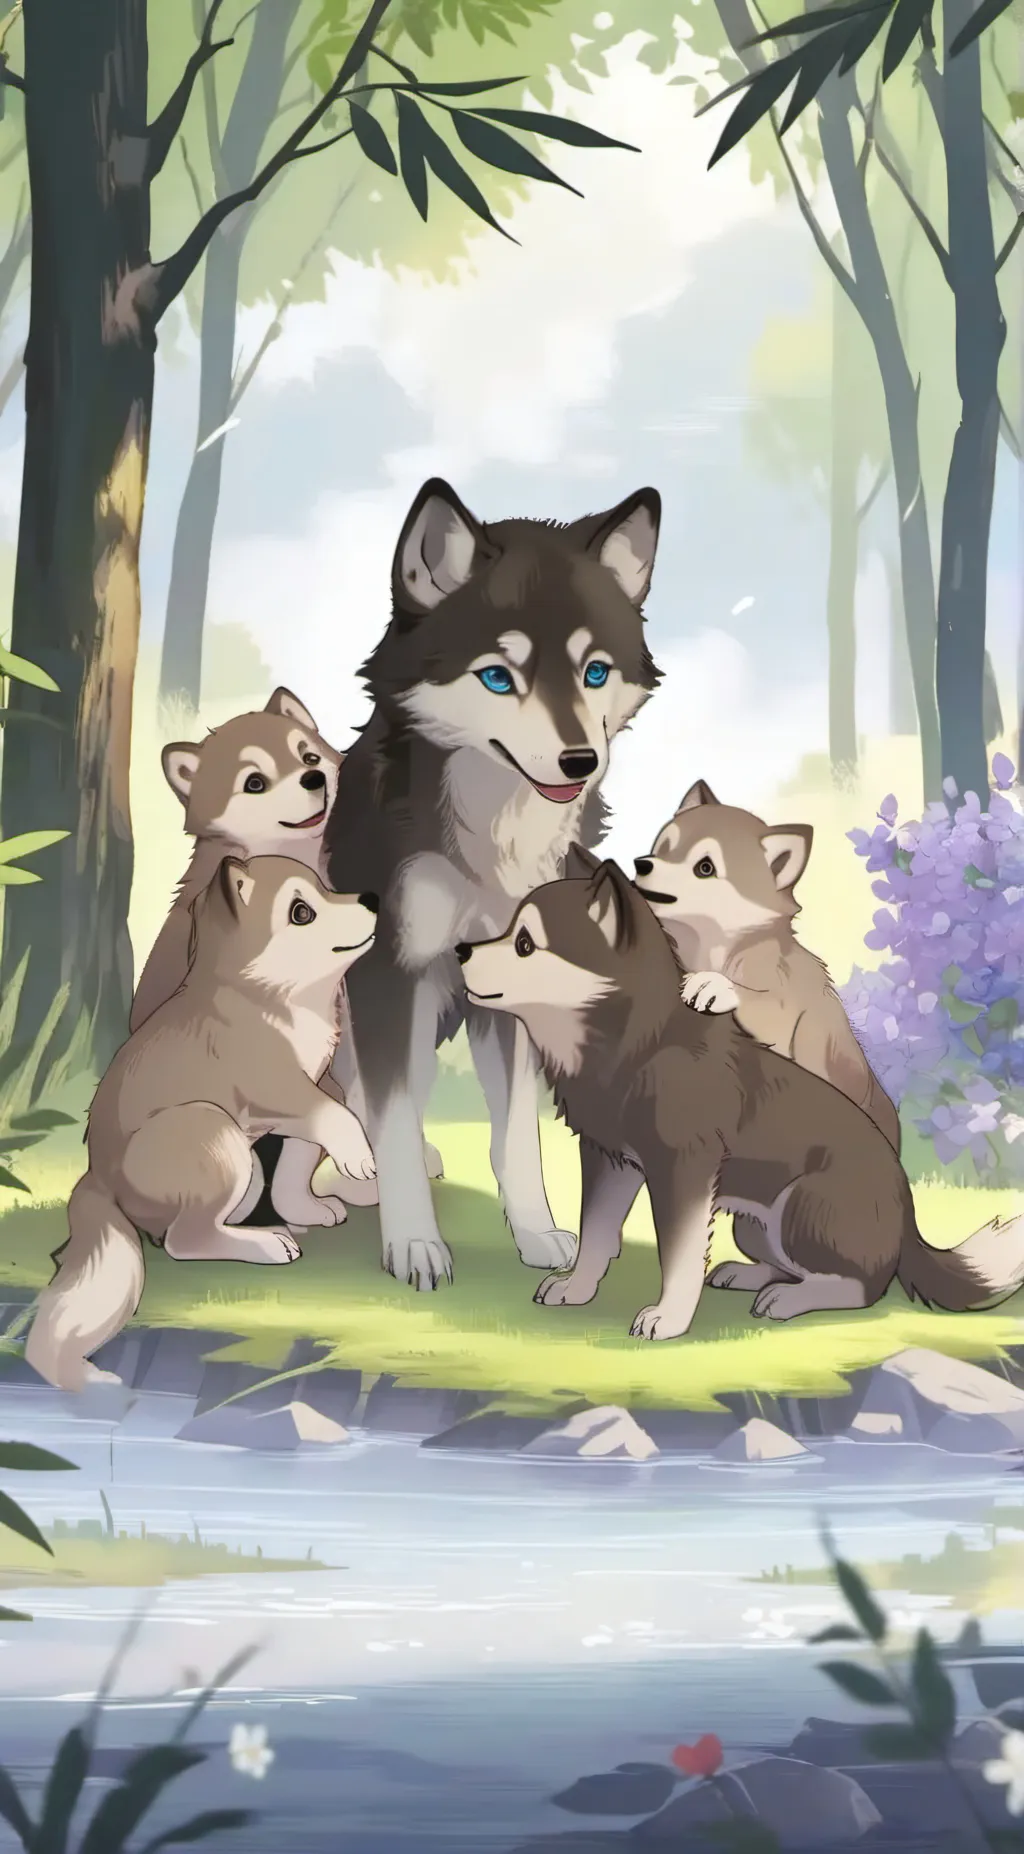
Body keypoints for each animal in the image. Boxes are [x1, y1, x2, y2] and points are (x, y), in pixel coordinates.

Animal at [25, 858, 378, 1392]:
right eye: (302, 911)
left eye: (326, 888)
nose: (373, 899)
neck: (268, 999)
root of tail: (96, 1176)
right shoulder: (281, 1088)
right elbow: (339, 1121)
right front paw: (359, 1158)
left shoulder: (314, 1091)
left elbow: (298, 1163)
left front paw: (310, 1207)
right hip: (211, 1130)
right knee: (184, 1241)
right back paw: (265, 1244)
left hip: (241, 1162)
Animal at [321, 476, 662, 1291]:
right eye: (498, 677)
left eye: (594, 672)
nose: (579, 761)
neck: (493, 831)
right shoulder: (388, 974)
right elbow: (392, 1116)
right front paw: (414, 1244)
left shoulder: (508, 986)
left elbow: (515, 1137)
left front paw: (536, 1233)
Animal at [455, 860, 1024, 1339]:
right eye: (508, 932)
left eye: (525, 944)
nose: (460, 950)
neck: (634, 1044)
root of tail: (909, 1222)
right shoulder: (609, 1160)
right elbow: (594, 1233)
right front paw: (577, 1288)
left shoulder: (683, 1165)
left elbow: (679, 1254)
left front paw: (668, 1318)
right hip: (753, 1224)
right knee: (790, 1264)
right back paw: (751, 1276)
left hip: (803, 1204)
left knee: (864, 1285)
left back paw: (790, 1299)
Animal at [633, 780, 901, 1150]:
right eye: (663, 848)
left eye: (705, 868)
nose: (641, 864)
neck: (714, 949)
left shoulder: (785, 1011)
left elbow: (755, 998)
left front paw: (714, 985)